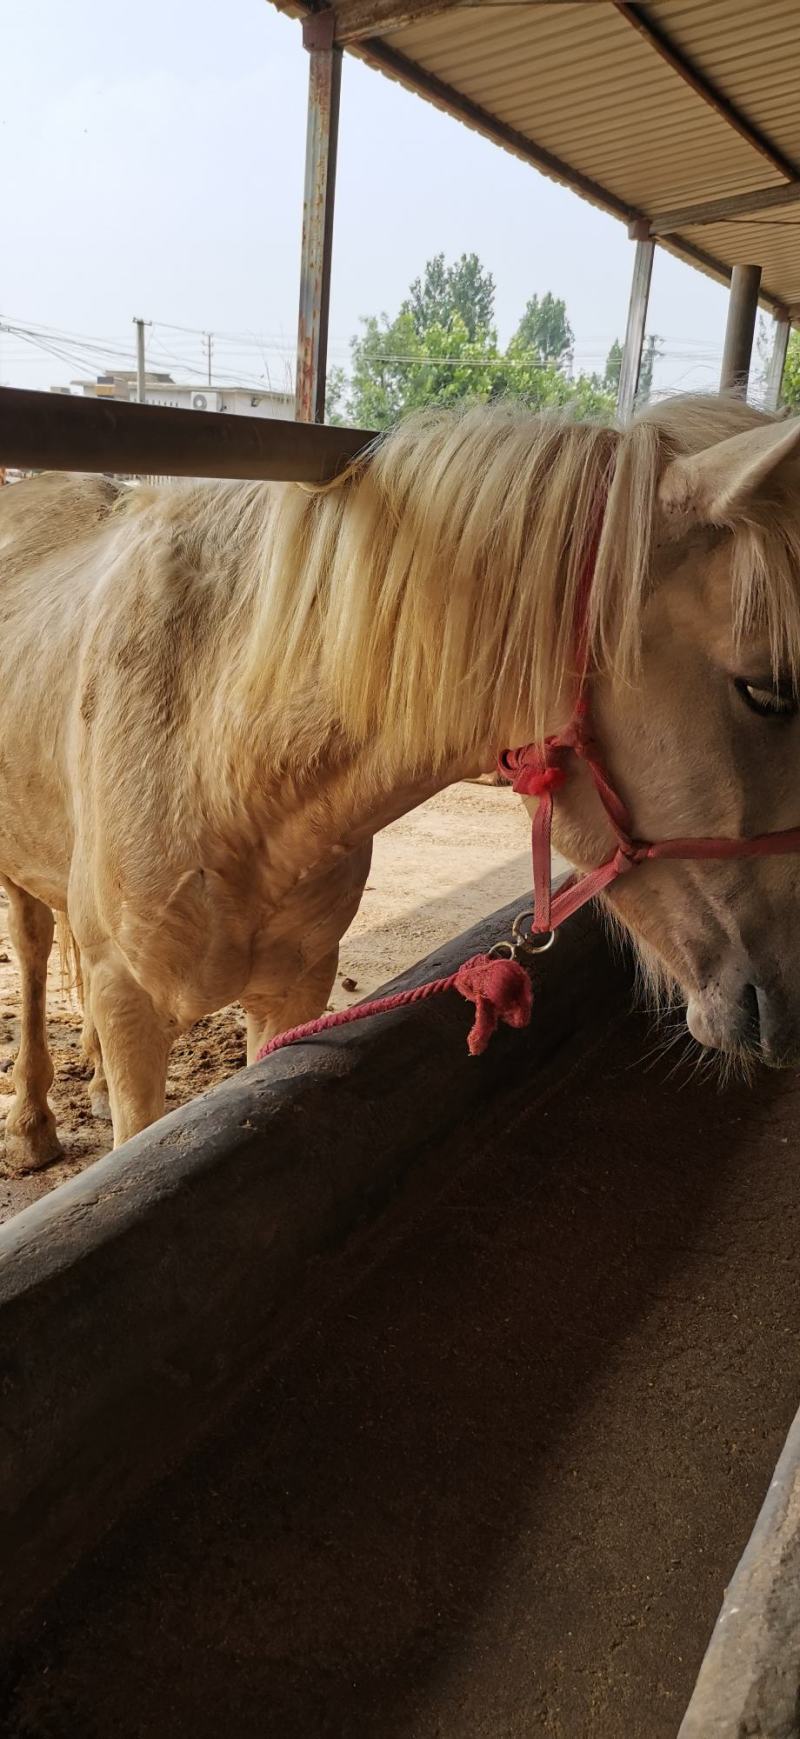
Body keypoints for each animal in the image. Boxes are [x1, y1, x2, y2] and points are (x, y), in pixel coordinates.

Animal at [1, 393, 800, 1172]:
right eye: (765, 690)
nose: (793, 1004)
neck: (214, 743)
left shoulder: (293, 991)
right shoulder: (130, 1005)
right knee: (35, 950)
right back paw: (34, 1123)